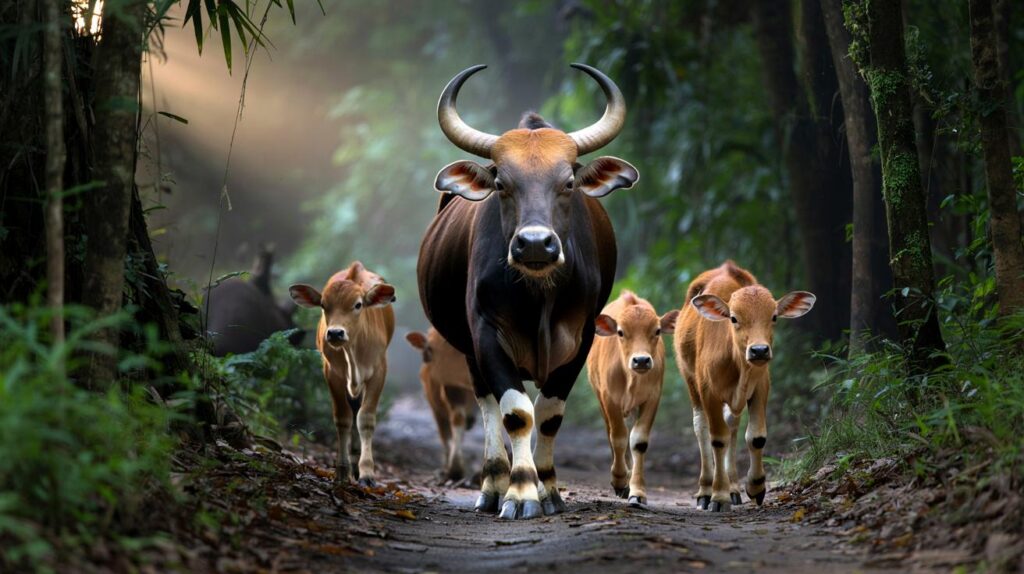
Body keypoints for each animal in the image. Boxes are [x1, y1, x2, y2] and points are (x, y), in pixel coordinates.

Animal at [289, 261, 396, 486]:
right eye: (323, 305)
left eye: (358, 305)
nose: (335, 333)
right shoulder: (332, 373)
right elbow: (343, 418)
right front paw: (342, 470)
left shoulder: (379, 371)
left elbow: (366, 418)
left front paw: (367, 472)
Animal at [417, 63, 638, 520]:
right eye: (502, 183)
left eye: (568, 181)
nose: (535, 244)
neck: (539, 297)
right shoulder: (486, 335)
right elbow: (516, 413)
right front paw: (520, 493)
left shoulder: (581, 338)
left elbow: (549, 414)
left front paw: (548, 489)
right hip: (467, 350)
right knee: (487, 405)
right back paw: (492, 486)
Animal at [587, 290, 678, 507]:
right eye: (620, 332)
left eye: (657, 331)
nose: (641, 360)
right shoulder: (609, 398)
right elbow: (618, 438)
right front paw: (620, 481)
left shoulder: (653, 398)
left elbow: (638, 441)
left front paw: (637, 492)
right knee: (611, 433)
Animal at [673, 261, 815, 512]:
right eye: (733, 318)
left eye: (774, 317)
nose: (759, 350)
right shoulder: (708, 391)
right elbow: (717, 438)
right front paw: (718, 497)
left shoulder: (761, 387)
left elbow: (756, 437)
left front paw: (755, 487)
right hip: (690, 381)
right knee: (701, 427)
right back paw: (705, 491)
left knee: (732, 425)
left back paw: (733, 488)